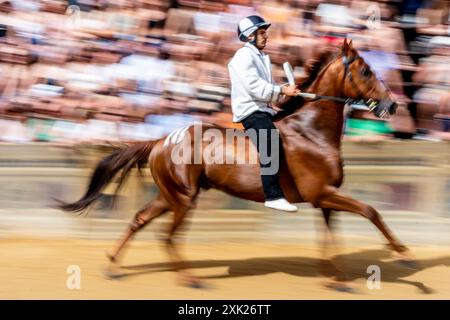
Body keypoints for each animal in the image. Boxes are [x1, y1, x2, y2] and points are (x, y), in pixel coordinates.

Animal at [59, 39, 414, 288]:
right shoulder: (323, 193)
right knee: (168, 236)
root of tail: (160, 141)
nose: (393, 105)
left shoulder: (325, 199)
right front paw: (404, 254)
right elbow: (371, 211)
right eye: (366, 70)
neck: (312, 131)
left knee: (139, 220)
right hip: (184, 199)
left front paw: (336, 280)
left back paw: (112, 265)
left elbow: (331, 239)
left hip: (170, 195)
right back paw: (190, 280)